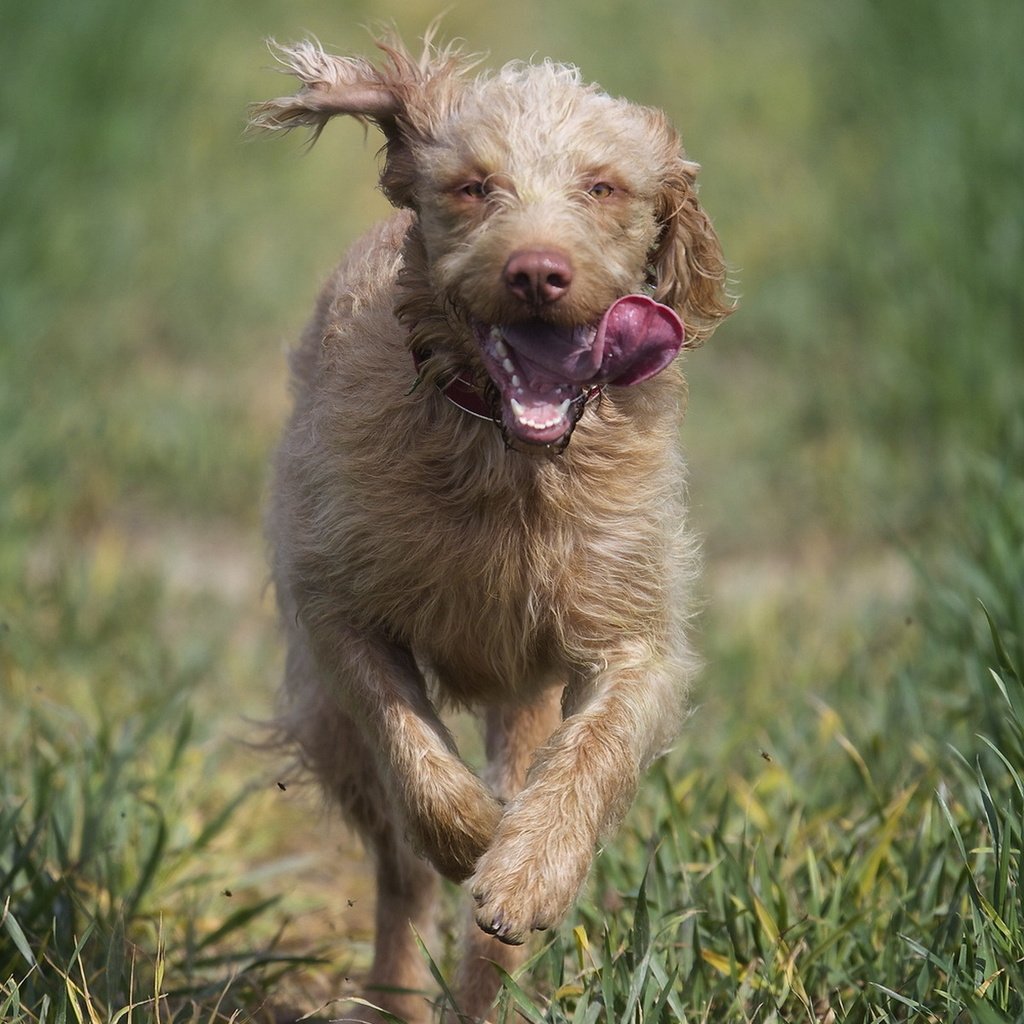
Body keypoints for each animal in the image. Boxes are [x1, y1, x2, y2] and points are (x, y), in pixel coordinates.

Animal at [253, 36, 737, 1019]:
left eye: (602, 187)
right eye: (476, 186)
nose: (537, 273)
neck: (507, 462)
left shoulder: (632, 634)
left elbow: (593, 751)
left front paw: (526, 870)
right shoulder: (336, 608)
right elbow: (407, 738)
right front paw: (472, 832)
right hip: (327, 725)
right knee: (397, 869)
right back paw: (397, 989)